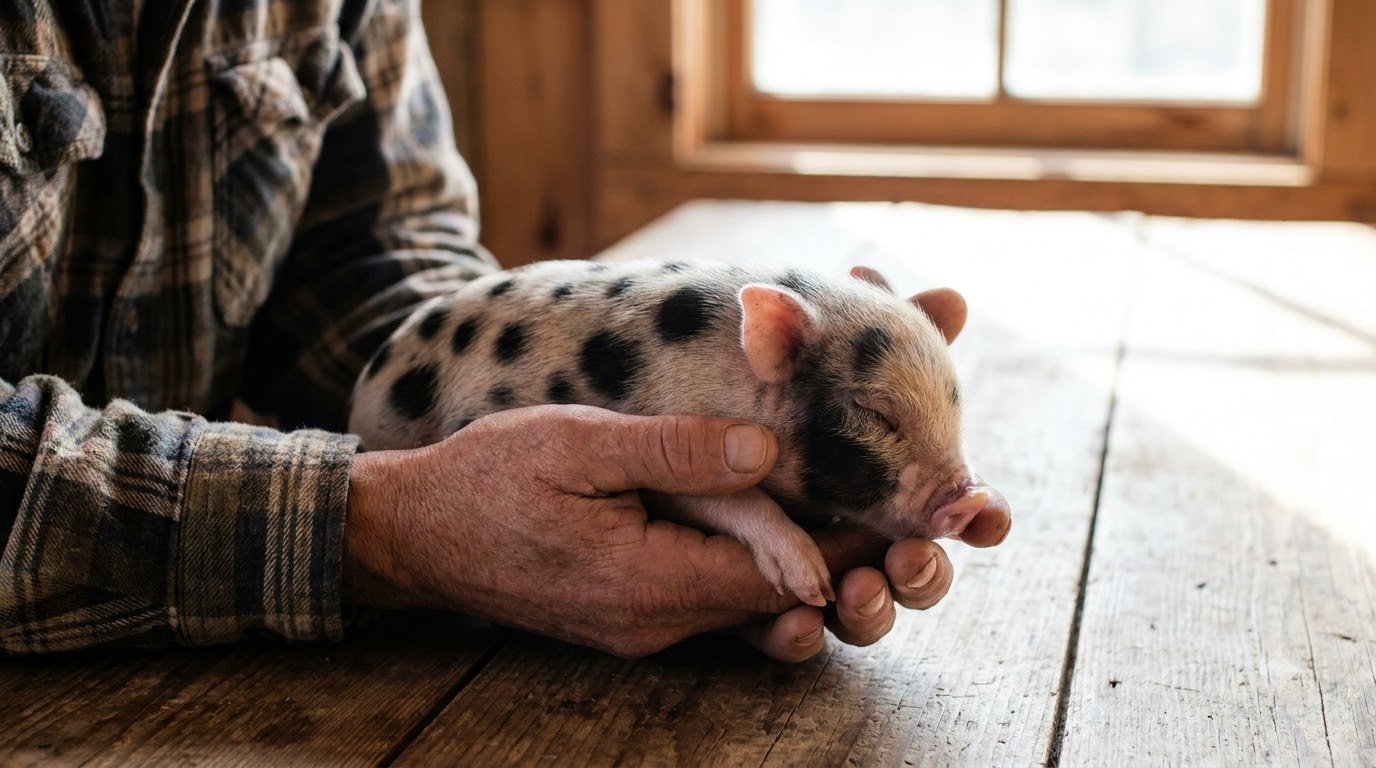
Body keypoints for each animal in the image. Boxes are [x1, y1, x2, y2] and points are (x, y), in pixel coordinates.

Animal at [349, 260, 1011, 607]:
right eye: (874, 412)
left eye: (955, 404)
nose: (973, 499)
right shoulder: (666, 437)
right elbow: (728, 498)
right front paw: (812, 586)